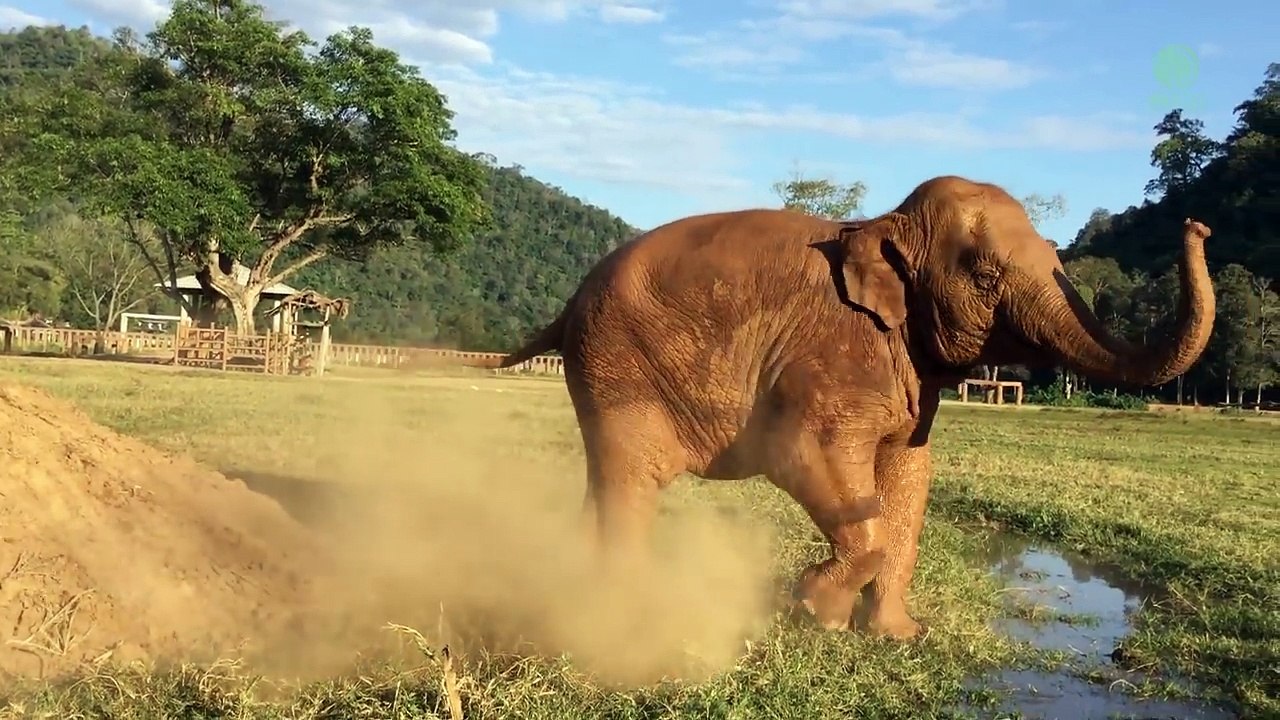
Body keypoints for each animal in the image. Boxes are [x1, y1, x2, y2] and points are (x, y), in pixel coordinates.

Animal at [499, 175, 1215, 640]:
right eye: (986, 277)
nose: (1196, 222)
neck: (880, 225)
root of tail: (571, 301)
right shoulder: (835, 355)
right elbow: (806, 453)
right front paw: (818, 613)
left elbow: (910, 476)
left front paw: (896, 635)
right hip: (616, 365)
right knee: (632, 480)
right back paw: (623, 614)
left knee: (608, 480)